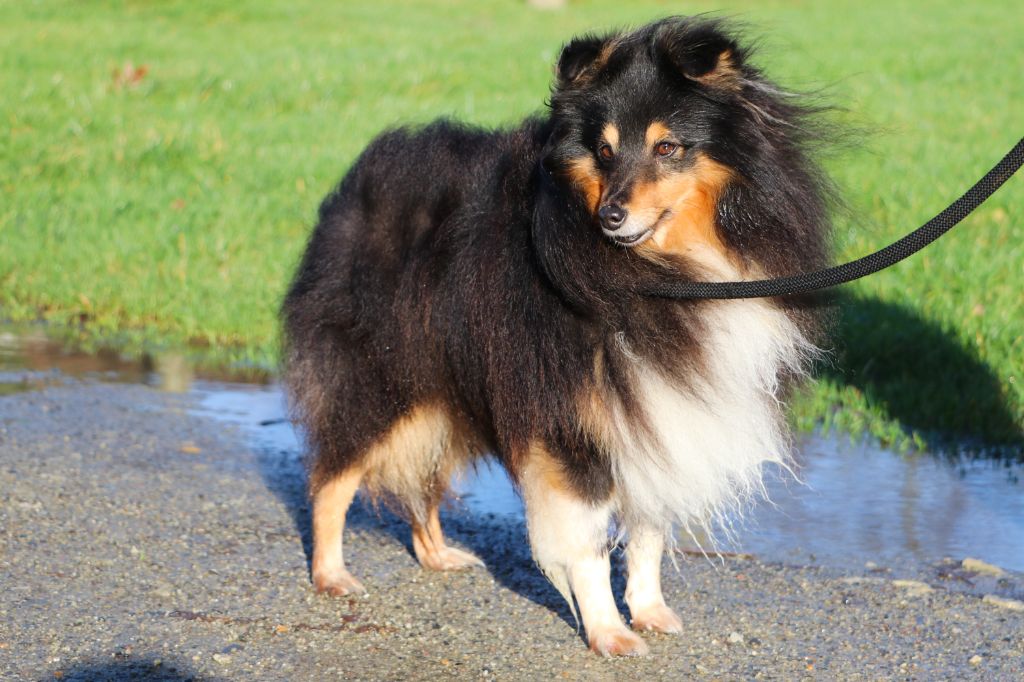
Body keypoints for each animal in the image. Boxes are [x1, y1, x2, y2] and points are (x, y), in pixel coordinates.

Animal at [281, 16, 831, 656]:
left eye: (668, 147)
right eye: (604, 150)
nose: (611, 216)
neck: (665, 269)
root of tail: (361, 180)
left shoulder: (653, 410)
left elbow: (647, 529)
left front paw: (649, 611)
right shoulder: (573, 420)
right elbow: (587, 543)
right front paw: (609, 634)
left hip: (445, 386)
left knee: (422, 476)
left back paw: (439, 555)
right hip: (386, 374)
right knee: (332, 476)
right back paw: (332, 575)